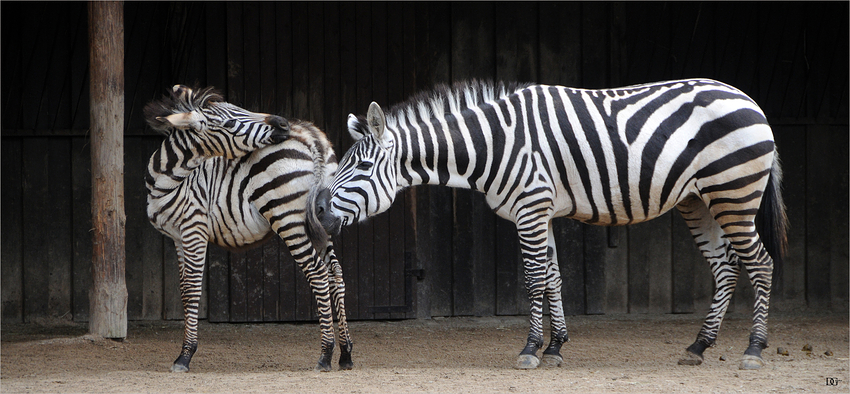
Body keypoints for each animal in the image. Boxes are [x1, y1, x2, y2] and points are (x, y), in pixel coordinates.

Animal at [144, 85, 350, 372]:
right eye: (229, 122)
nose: (283, 124)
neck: (168, 181)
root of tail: (312, 138)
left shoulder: (194, 229)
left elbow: (193, 290)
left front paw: (185, 356)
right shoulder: (177, 237)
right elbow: (185, 291)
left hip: (288, 218)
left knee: (318, 273)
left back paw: (325, 354)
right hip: (322, 217)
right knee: (336, 274)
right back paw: (346, 353)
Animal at [314, 79, 788, 370]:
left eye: (362, 167)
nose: (317, 211)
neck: (495, 145)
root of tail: (747, 99)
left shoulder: (530, 208)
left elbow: (533, 278)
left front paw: (529, 350)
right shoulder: (543, 211)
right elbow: (554, 278)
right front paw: (556, 347)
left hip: (734, 192)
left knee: (761, 264)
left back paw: (754, 349)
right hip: (699, 200)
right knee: (726, 268)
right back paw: (699, 346)